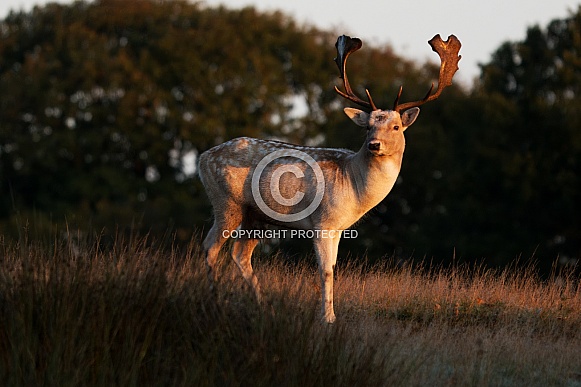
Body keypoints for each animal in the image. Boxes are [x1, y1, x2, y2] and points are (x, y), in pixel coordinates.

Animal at [197, 34, 460, 324]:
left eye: (396, 126)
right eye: (368, 127)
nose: (374, 145)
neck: (354, 186)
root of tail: (203, 158)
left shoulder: (338, 228)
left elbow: (333, 267)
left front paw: (329, 313)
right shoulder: (323, 222)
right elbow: (325, 270)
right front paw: (328, 318)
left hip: (258, 217)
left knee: (239, 254)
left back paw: (264, 306)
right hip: (226, 202)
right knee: (210, 247)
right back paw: (214, 303)